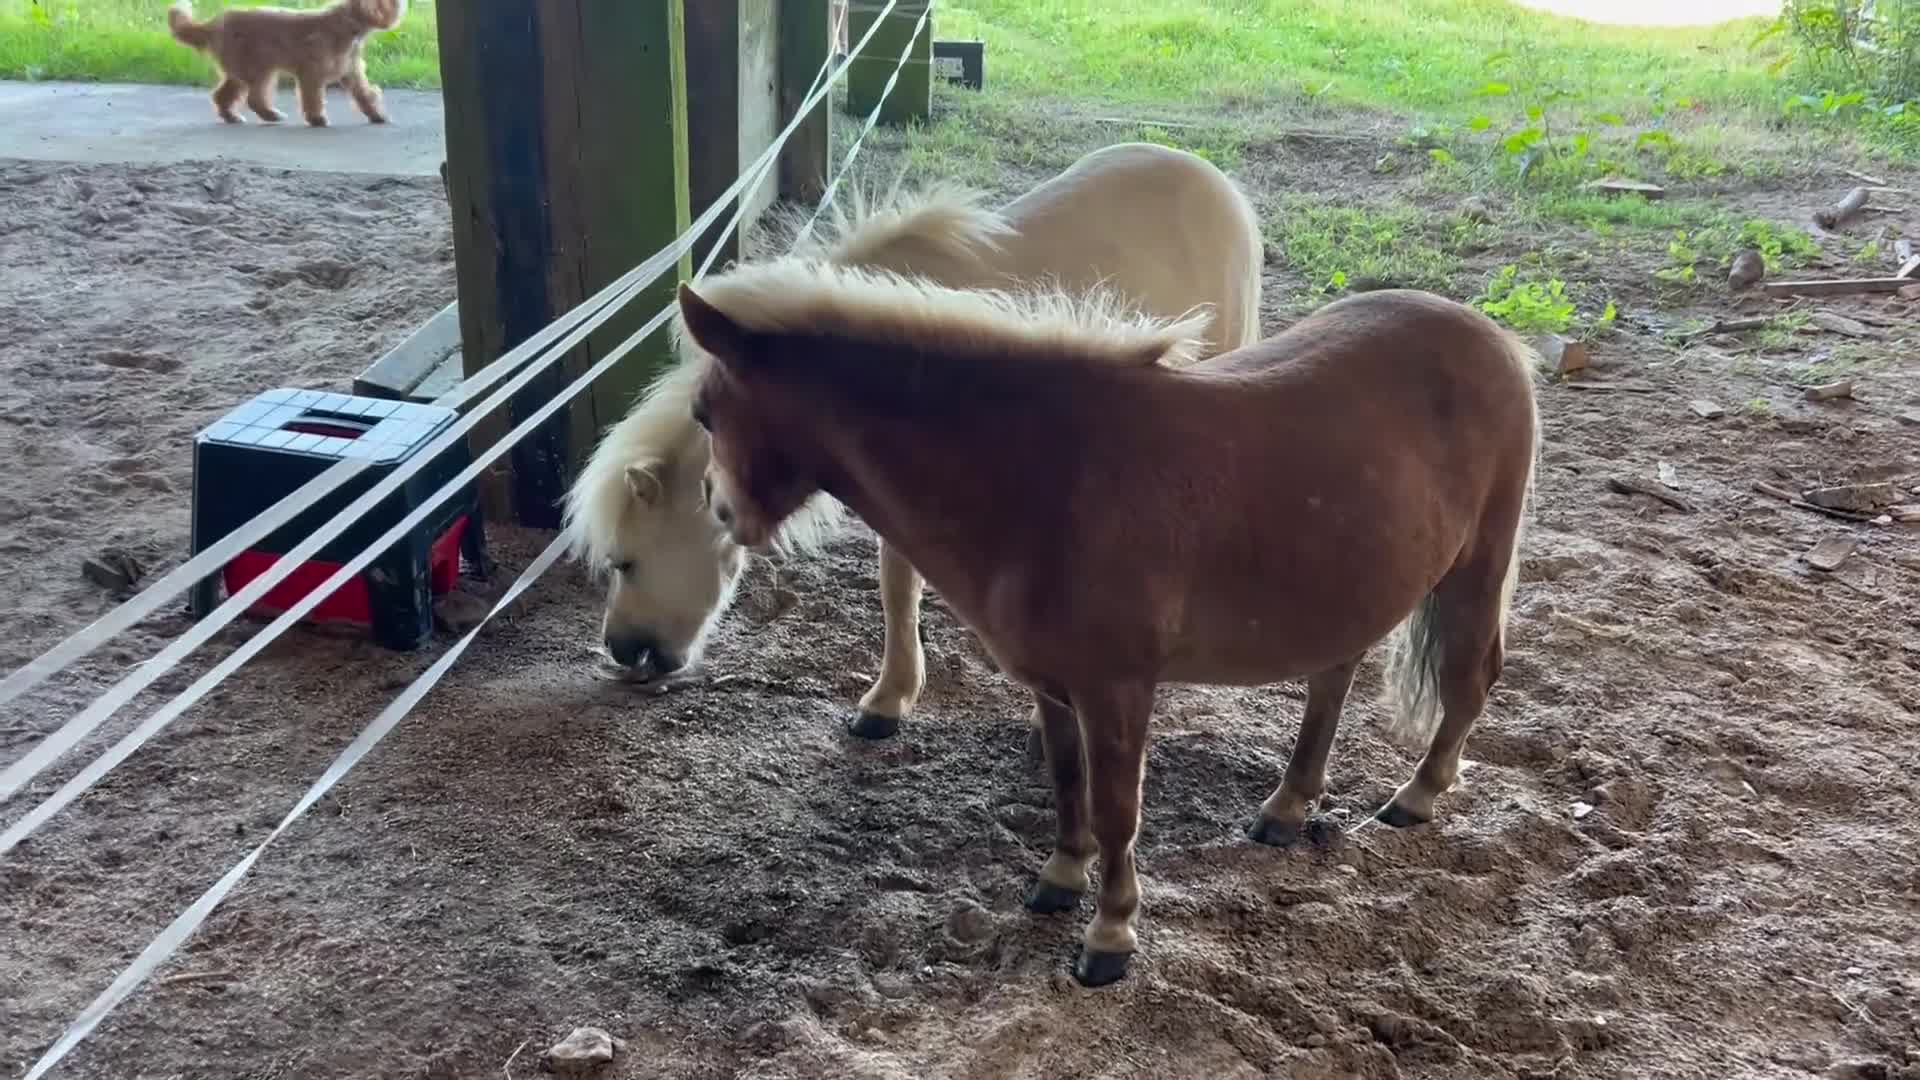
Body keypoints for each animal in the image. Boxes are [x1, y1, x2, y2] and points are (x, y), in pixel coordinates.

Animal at [674, 258, 1539, 988]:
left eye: (704, 412)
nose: (720, 510)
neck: (1048, 472)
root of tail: (1493, 337)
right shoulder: (1056, 687)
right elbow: (1068, 785)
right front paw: (1059, 879)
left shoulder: (1118, 688)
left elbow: (1118, 810)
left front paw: (1111, 936)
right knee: (1334, 680)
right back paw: (1287, 810)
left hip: (1477, 568)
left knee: (1469, 680)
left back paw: (1416, 797)